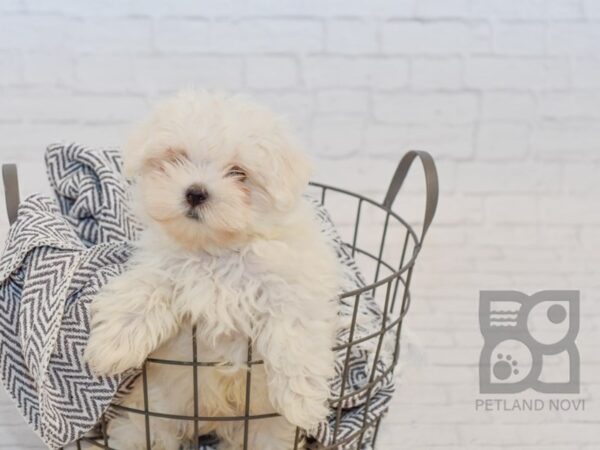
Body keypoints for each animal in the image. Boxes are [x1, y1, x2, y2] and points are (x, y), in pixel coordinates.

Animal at [82, 91, 340, 450]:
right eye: (177, 157)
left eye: (239, 172)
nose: (195, 192)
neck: (216, 250)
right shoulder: (163, 267)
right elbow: (141, 291)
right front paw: (112, 347)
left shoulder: (292, 283)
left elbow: (294, 333)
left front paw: (302, 402)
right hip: (157, 410)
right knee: (144, 430)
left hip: (262, 426)